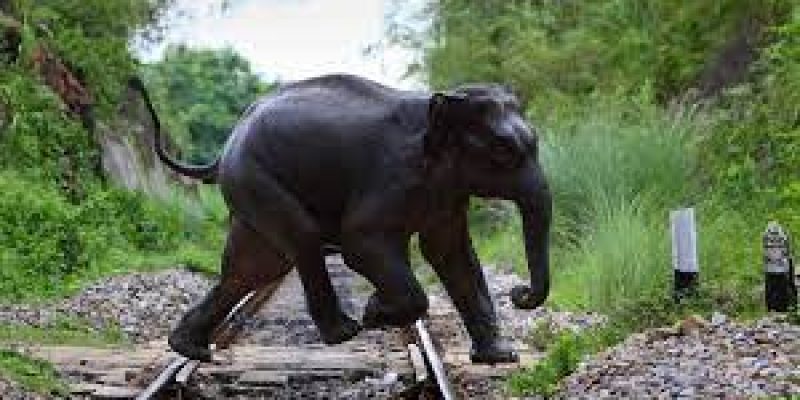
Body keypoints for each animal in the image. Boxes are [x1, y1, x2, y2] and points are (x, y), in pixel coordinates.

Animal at [129, 73, 552, 364]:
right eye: (503, 151)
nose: (520, 295)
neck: (443, 101)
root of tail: (223, 150)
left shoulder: (446, 192)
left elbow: (452, 253)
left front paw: (500, 358)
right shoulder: (391, 176)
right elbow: (360, 243)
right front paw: (376, 312)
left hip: (250, 188)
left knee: (252, 269)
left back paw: (190, 350)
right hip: (256, 178)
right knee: (299, 240)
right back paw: (345, 332)